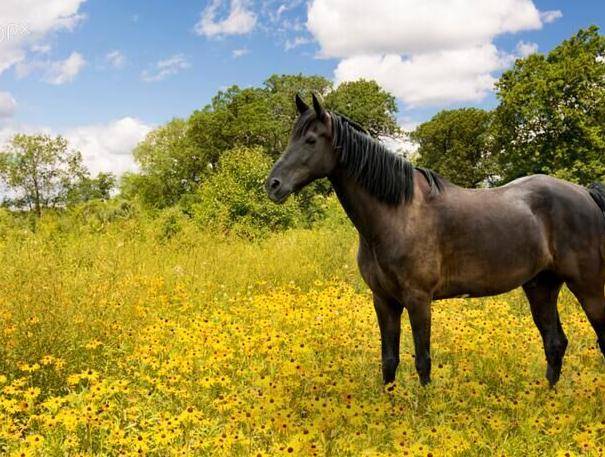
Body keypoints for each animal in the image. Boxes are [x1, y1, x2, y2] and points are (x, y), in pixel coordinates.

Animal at [264, 92, 604, 384]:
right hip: (541, 286)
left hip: (588, 286)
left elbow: (422, 361)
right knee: (554, 343)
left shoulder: (418, 299)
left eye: (310, 140)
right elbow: (389, 361)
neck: (397, 213)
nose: (272, 185)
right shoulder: (383, 300)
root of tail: (586, 194)